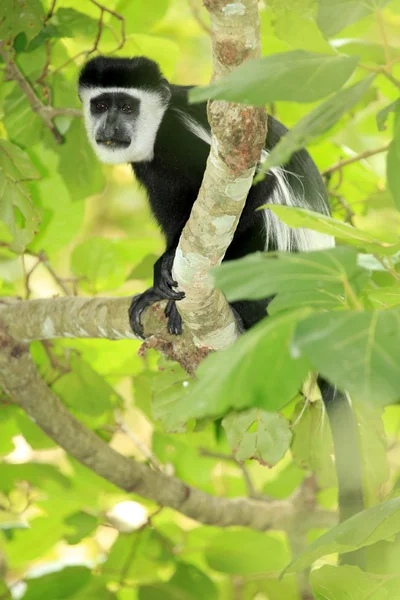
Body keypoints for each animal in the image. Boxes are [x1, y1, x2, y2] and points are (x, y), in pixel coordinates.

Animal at [77, 56, 362, 532]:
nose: (110, 126)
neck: (157, 127)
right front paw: (157, 285)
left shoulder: (182, 137)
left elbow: (259, 189)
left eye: (127, 106)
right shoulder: (153, 170)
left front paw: (164, 275)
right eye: (100, 104)